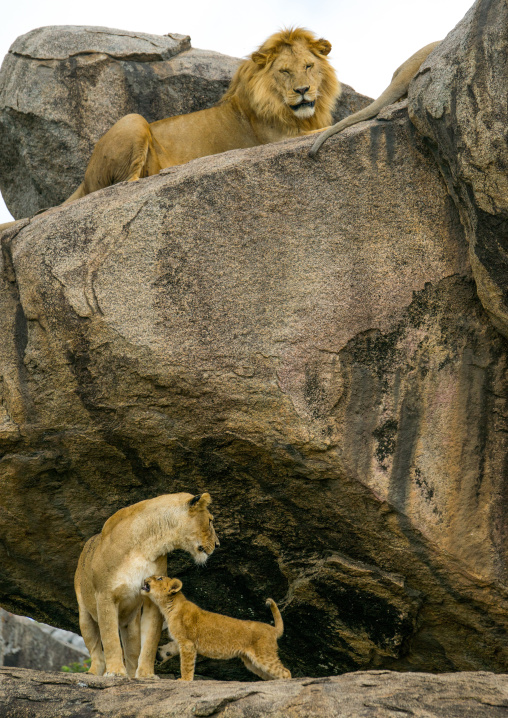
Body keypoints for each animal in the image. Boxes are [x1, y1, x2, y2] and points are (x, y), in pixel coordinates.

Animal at [61, 27, 339, 203]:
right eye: (284, 71)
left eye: (308, 66)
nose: (302, 90)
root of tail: (83, 181)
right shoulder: (276, 139)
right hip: (133, 119)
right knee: (125, 184)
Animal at [74, 492, 219, 679]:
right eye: (210, 520)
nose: (218, 544)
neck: (146, 544)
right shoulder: (105, 595)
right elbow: (110, 638)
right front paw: (115, 672)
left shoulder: (154, 596)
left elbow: (150, 640)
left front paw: (146, 675)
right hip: (84, 614)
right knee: (95, 649)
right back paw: (93, 673)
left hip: (130, 623)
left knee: (132, 651)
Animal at [141, 575, 291, 681]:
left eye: (159, 578)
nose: (145, 578)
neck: (169, 607)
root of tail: (273, 629)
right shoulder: (182, 641)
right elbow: (171, 647)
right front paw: (160, 654)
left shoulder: (187, 643)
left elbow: (186, 664)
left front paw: (184, 680)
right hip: (252, 663)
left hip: (264, 655)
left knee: (286, 672)